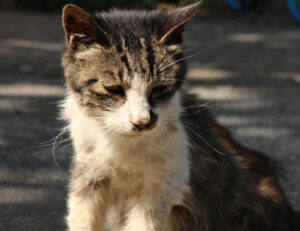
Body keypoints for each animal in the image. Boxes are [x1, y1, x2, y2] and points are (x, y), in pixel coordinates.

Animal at [61, 2, 300, 231]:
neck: (124, 147)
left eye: (159, 88)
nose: (142, 122)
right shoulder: (88, 176)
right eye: (114, 89)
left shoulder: (162, 186)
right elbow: (82, 219)